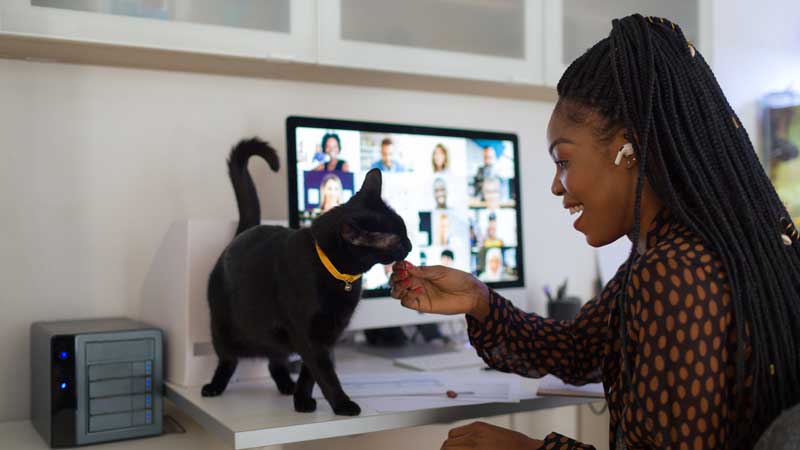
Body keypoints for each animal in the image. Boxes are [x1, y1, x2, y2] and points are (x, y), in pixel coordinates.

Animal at [203, 136, 410, 414]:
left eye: (405, 231)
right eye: (397, 240)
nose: (410, 245)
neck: (340, 277)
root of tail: (241, 233)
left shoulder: (328, 333)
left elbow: (310, 372)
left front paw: (301, 400)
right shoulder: (308, 335)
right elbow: (324, 373)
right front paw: (343, 404)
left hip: (272, 337)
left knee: (275, 361)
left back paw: (286, 385)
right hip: (223, 329)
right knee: (228, 360)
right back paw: (214, 386)